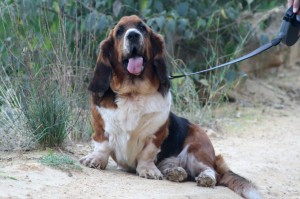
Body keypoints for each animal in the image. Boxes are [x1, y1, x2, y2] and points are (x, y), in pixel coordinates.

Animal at [80, 14, 262, 198]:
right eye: (119, 31)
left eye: (142, 28)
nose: (133, 35)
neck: (133, 92)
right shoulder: (101, 127)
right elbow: (102, 144)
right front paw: (95, 159)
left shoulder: (156, 134)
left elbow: (147, 153)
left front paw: (147, 170)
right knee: (182, 171)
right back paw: (175, 172)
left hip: (197, 149)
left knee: (212, 172)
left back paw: (204, 178)